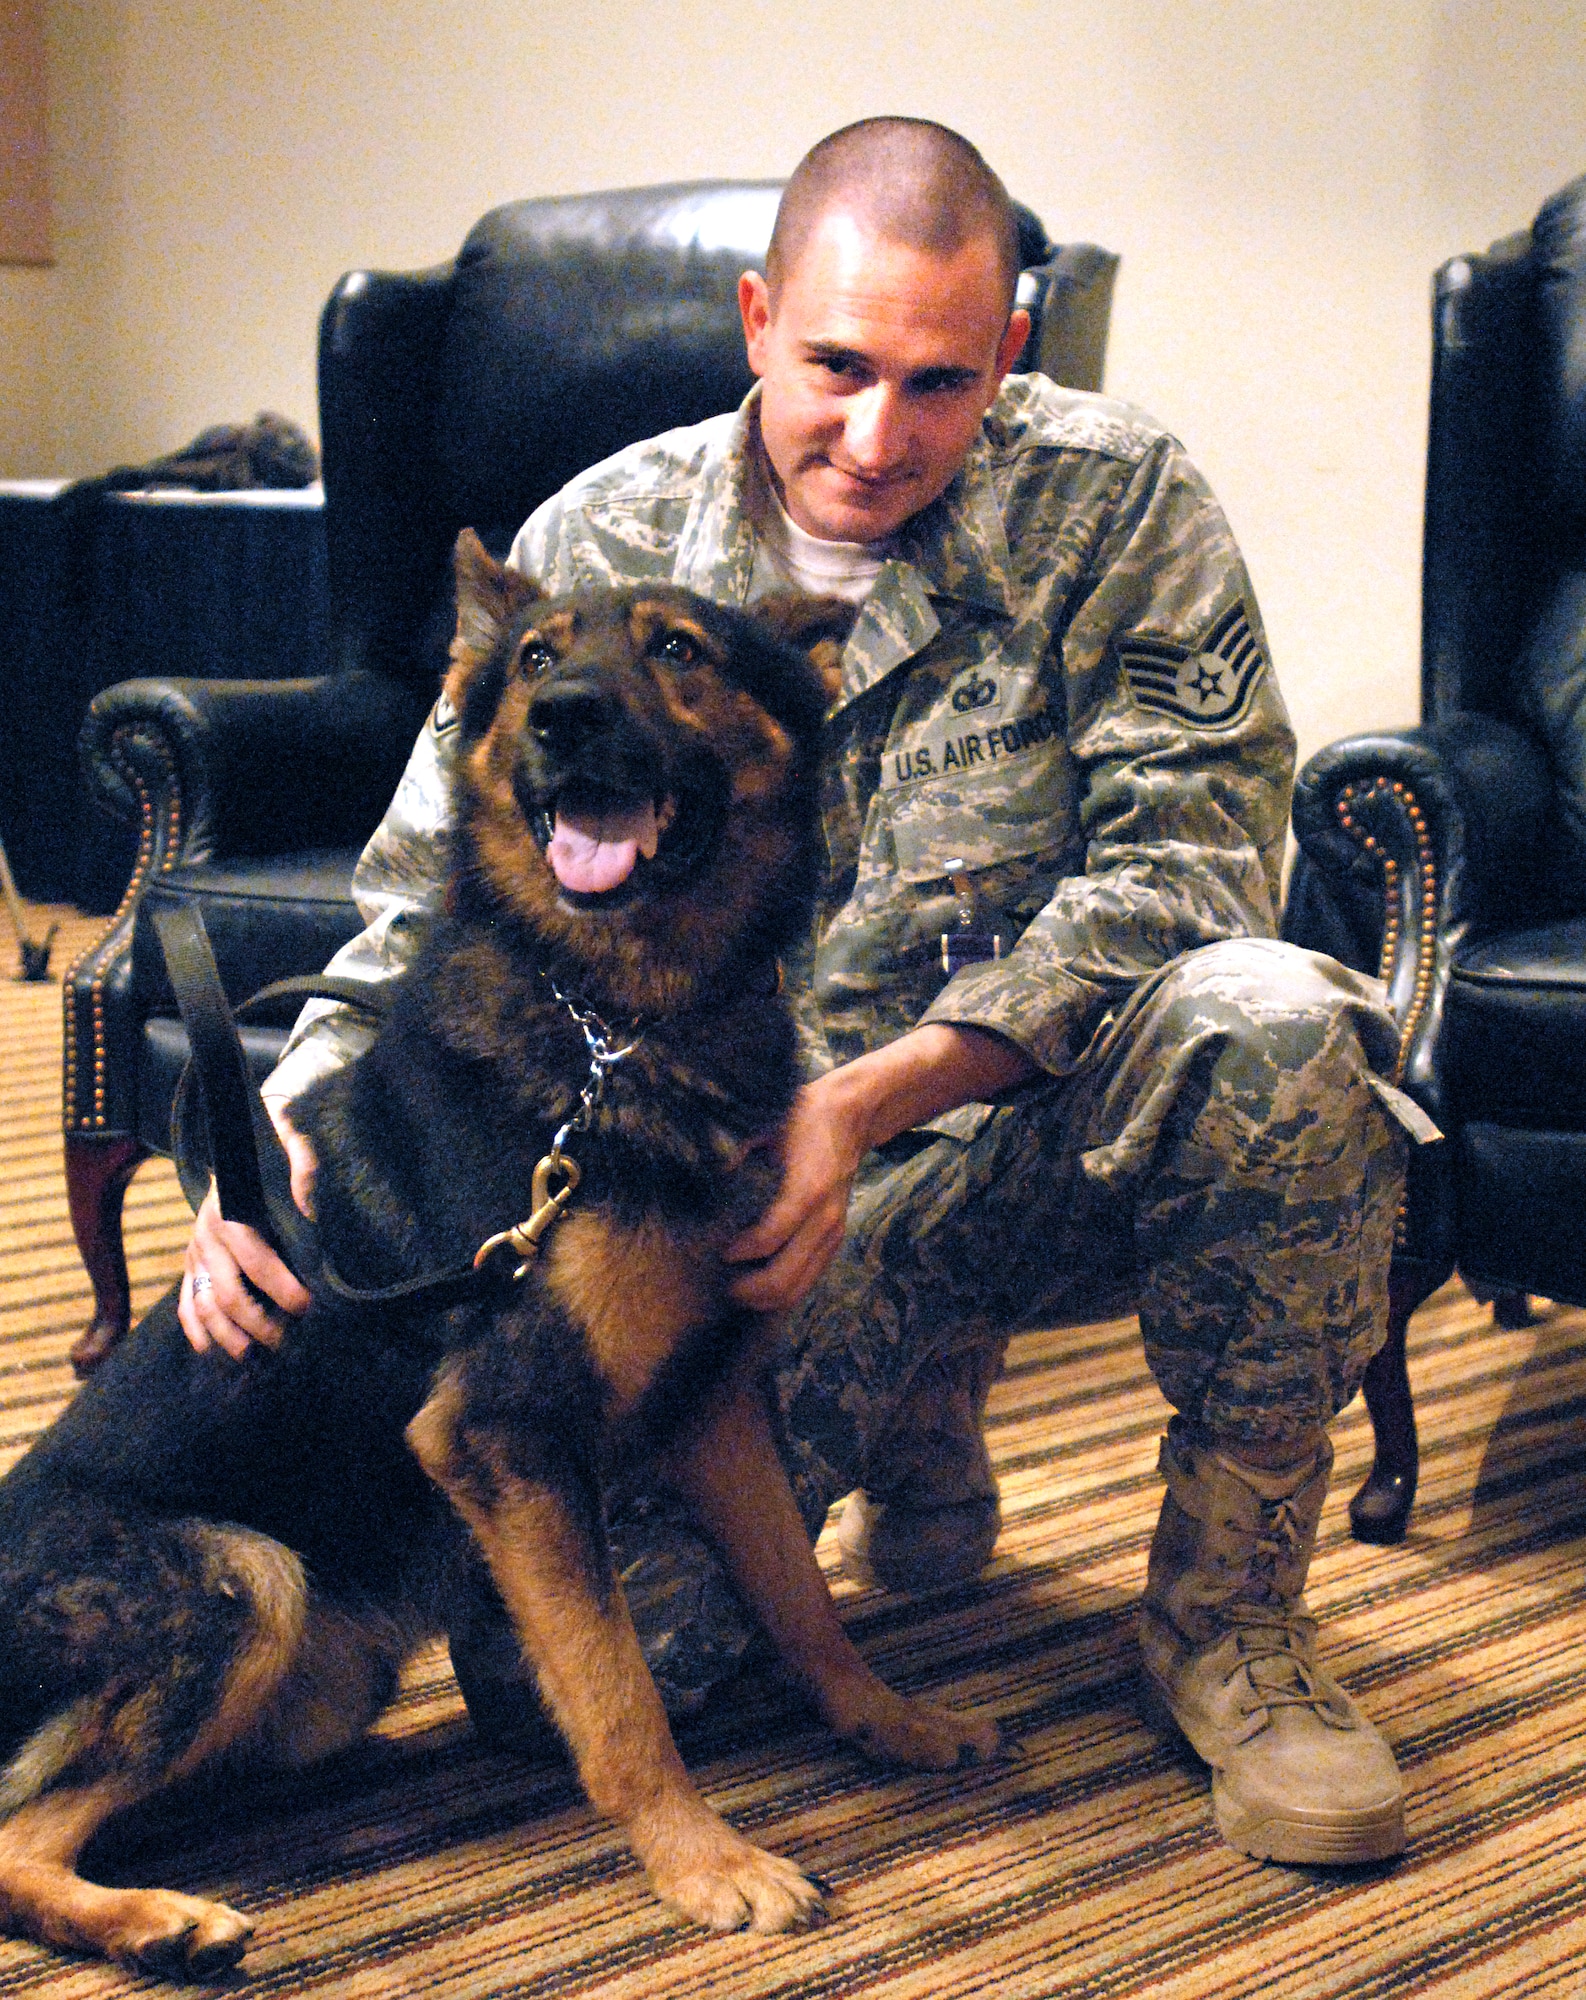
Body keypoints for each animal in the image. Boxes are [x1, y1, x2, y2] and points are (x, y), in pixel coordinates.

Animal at [0, 528, 996, 1968]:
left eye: (677, 649)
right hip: (250, 1577)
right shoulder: (505, 1440)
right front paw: (703, 1861)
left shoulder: (714, 1408)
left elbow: (801, 1599)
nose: (562, 714)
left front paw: (887, 1720)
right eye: (533, 658)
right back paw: (154, 1921)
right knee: (18, 1837)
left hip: (324, 1664)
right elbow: (618, 1686)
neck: (615, 1028)